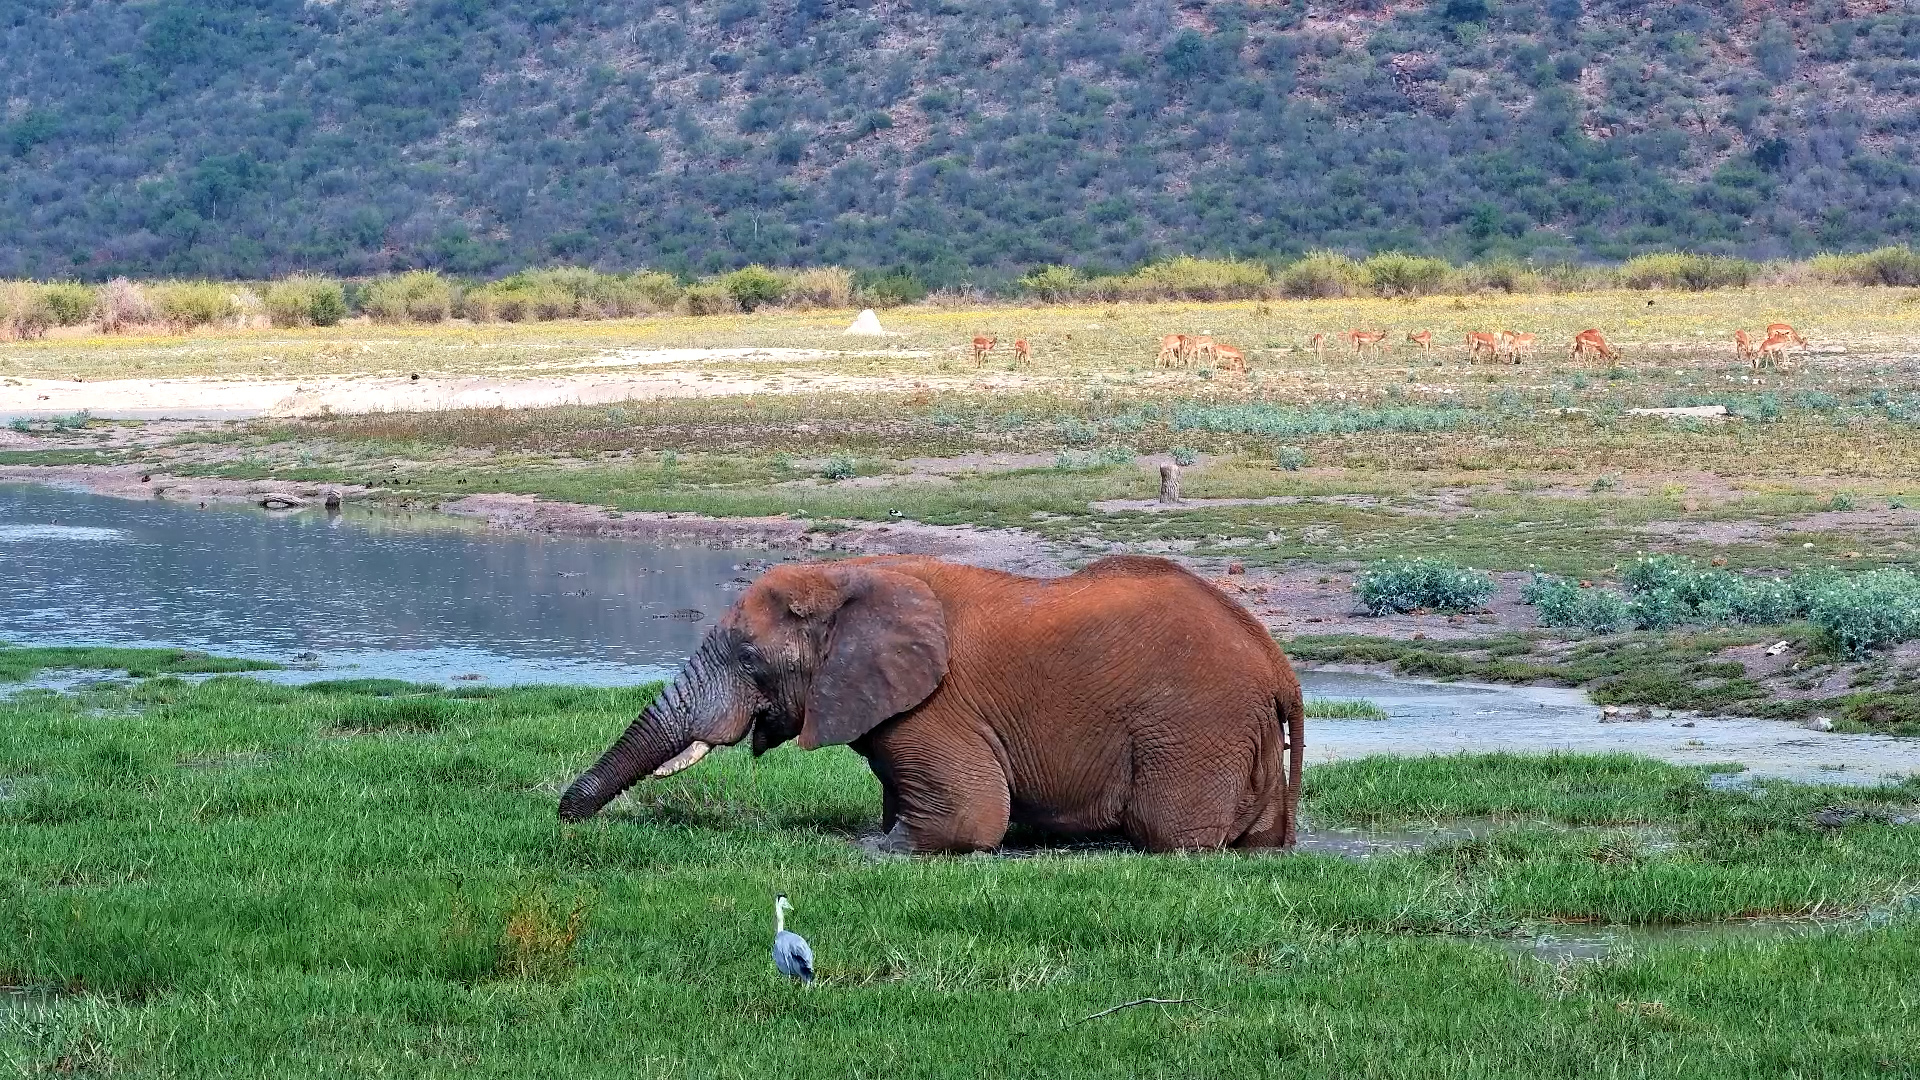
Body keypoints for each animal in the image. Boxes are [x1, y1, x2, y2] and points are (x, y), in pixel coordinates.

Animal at [558, 554, 1304, 853]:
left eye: (748, 659)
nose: (564, 815)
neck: (846, 575)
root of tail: (1277, 664)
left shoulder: (935, 707)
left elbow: (972, 820)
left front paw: (878, 848)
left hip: (1194, 727)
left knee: (1170, 834)